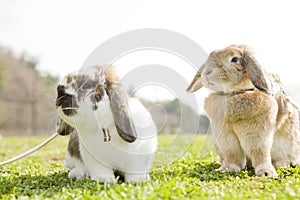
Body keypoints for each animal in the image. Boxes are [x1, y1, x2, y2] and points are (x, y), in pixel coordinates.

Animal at [188, 44, 300, 176]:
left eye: (234, 59)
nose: (206, 72)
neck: (235, 93)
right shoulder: (225, 136)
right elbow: (232, 154)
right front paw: (227, 169)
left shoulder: (257, 133)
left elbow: (259, 152)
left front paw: (266, 173)